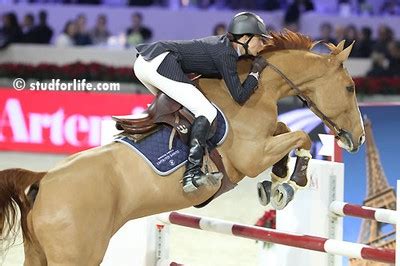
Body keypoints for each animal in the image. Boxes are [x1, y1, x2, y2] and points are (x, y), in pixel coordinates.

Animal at [0, 30, 364, 264]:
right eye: (349, 87)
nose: (358, 139)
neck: (258, 90)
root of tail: (43, 181)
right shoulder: (250, 157)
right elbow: (300, 136)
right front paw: (289, 181)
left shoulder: (264, 141)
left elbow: (288, 129)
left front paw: (278, 178)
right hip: (77, 254)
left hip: (38, 254)